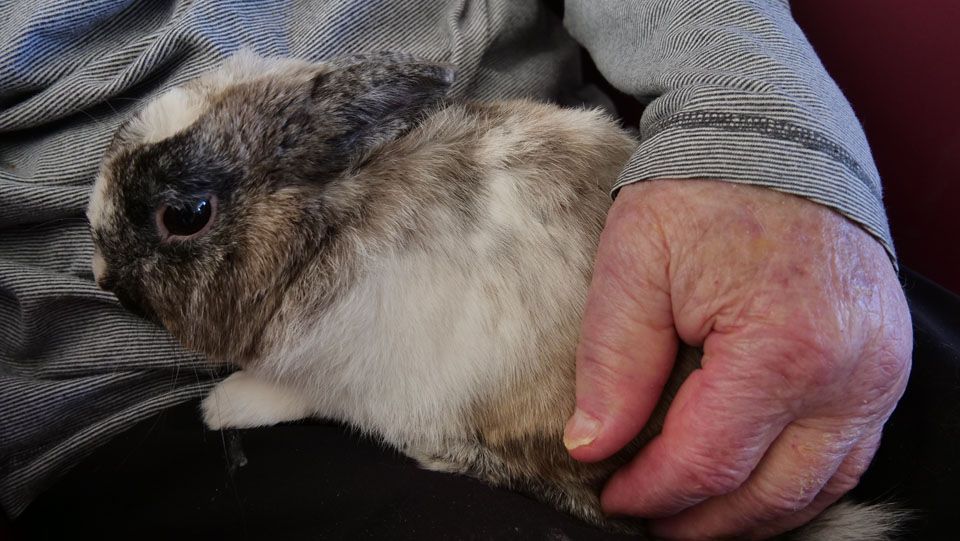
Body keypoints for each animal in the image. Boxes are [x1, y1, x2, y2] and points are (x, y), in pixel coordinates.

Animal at [87, 51, 903, 539]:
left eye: (185, 214)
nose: (97, 275)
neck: (324, 226)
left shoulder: (343, 375)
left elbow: (284, 392)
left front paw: (221, 406)